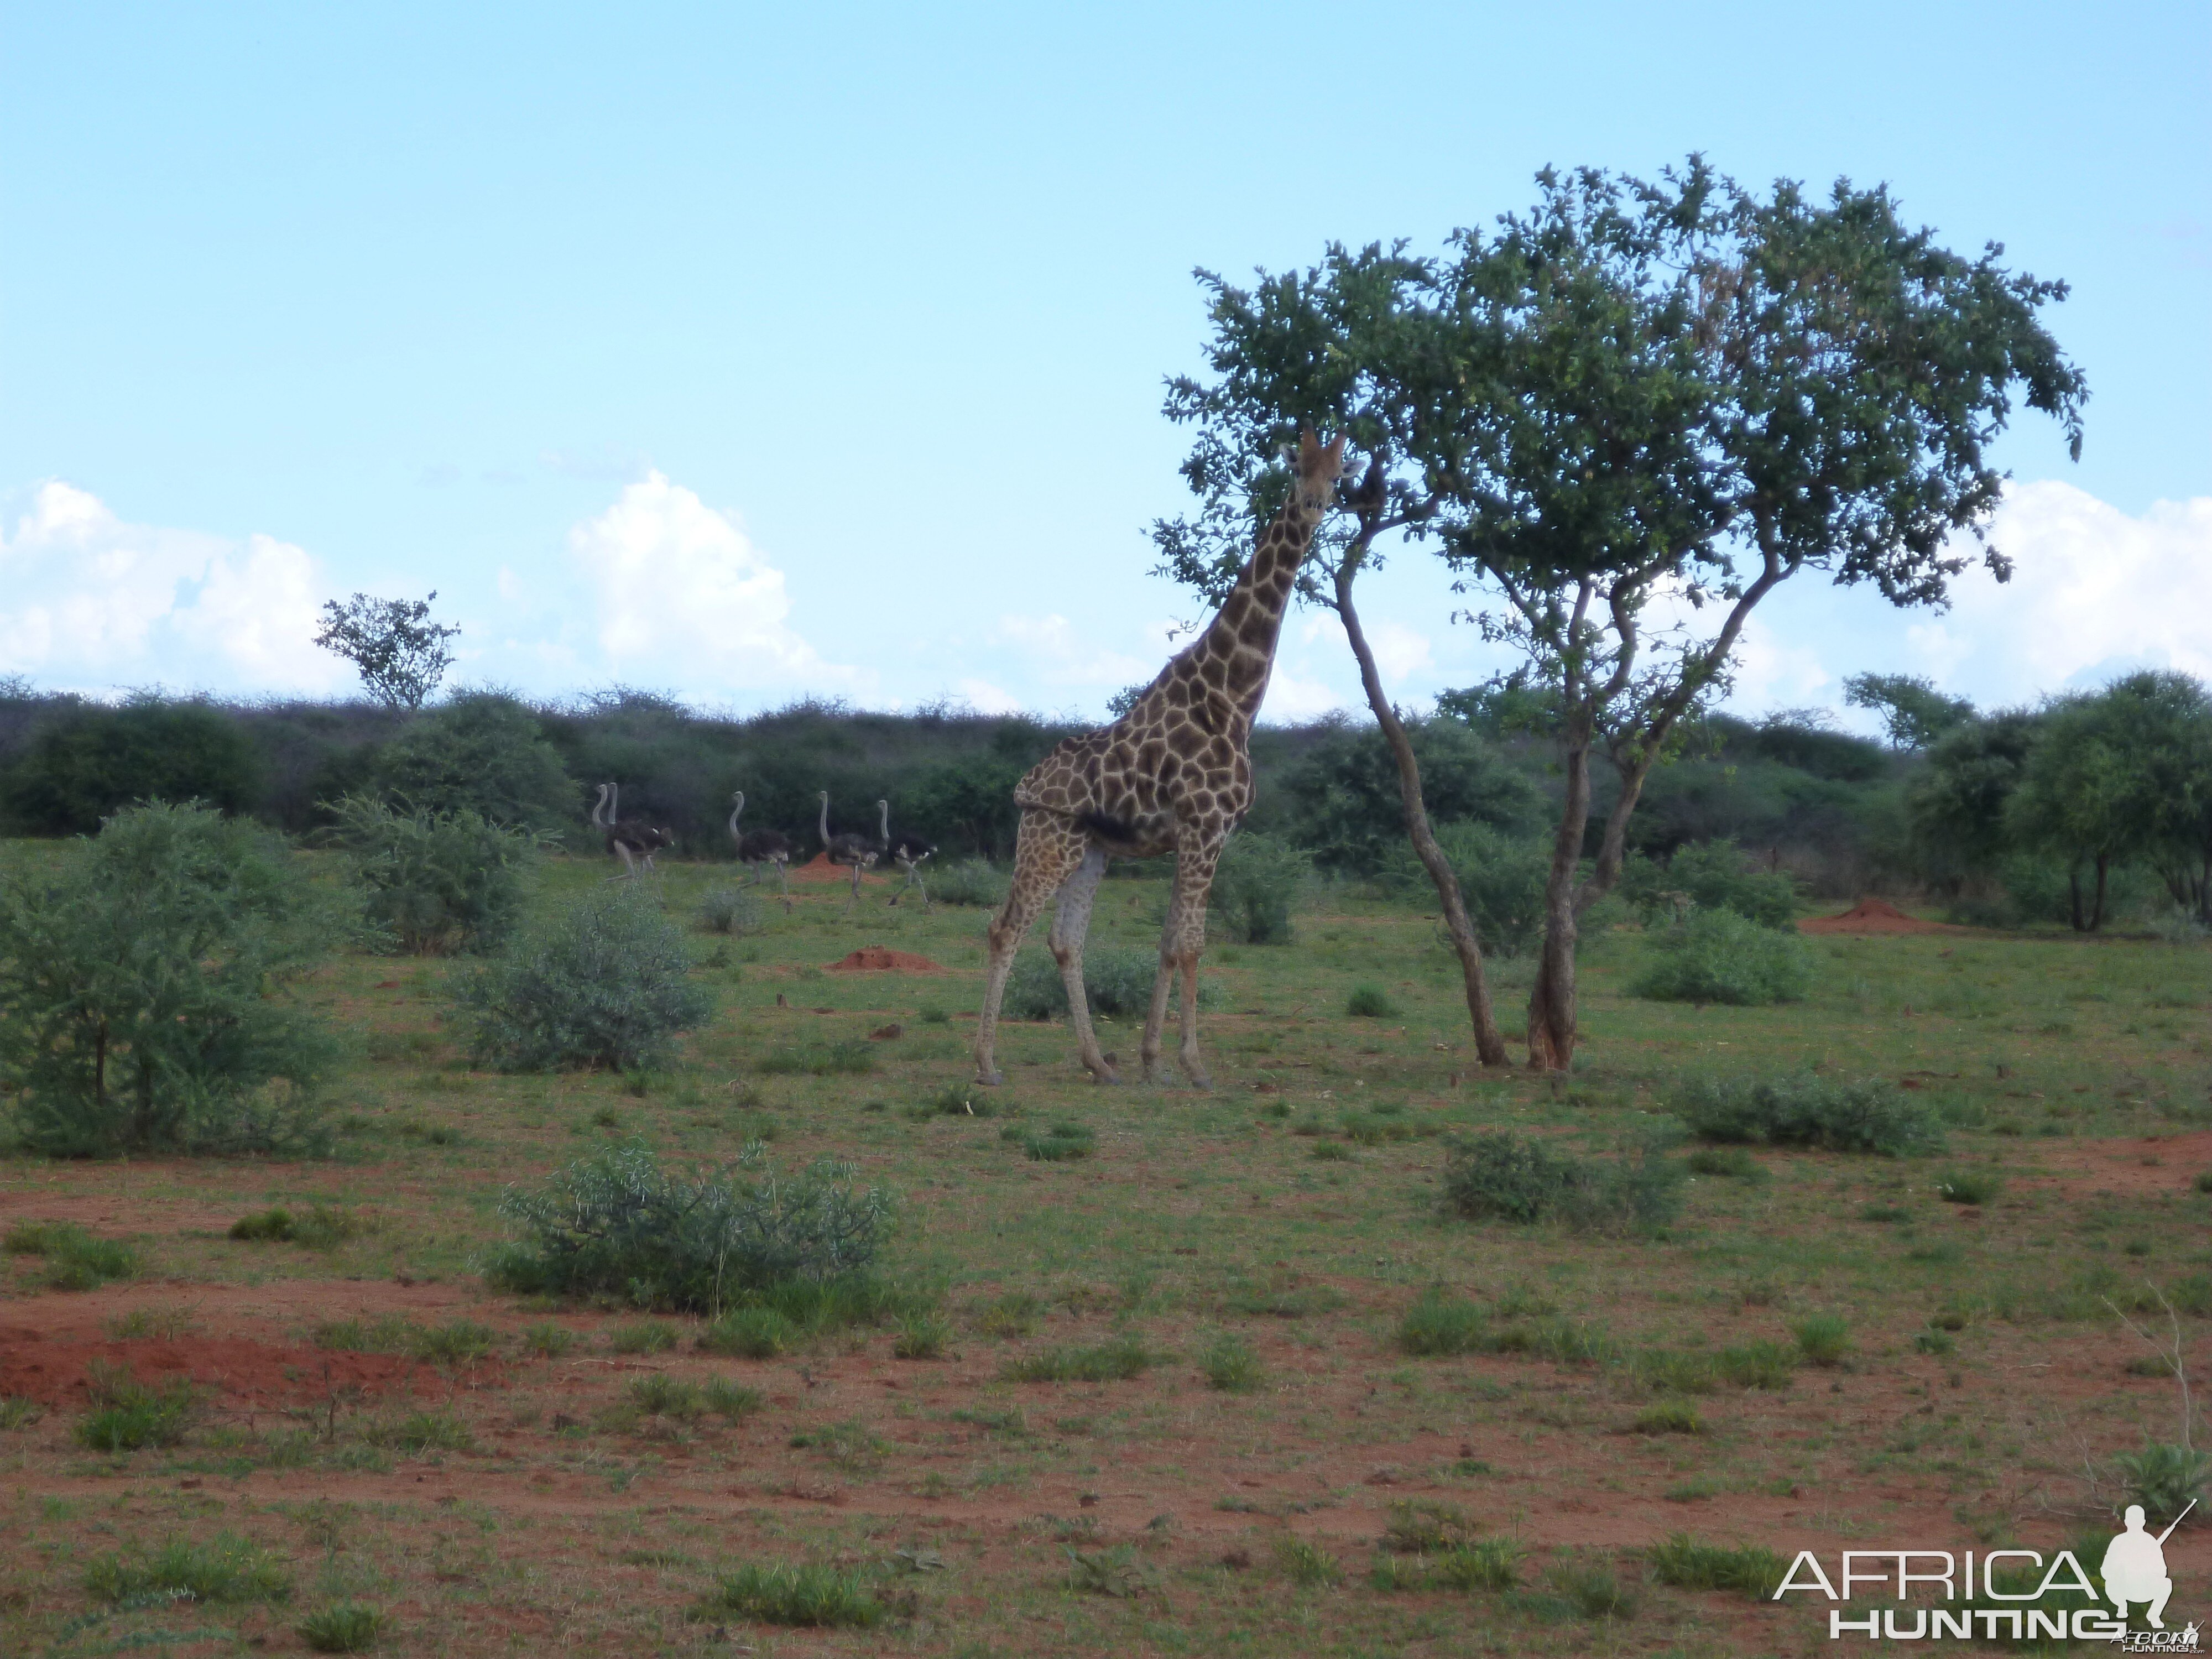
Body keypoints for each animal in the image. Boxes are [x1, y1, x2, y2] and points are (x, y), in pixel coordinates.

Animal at [973, 436, 1345, 1097]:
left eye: (1340, 475)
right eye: (1294, 466)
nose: (1312, 505)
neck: (1235, 701)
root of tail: (1025, 785)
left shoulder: (1201, 835)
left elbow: (1171, 941)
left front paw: (1151, 1060)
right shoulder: (1205, 828)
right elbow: (1192, 945)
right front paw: (1193, 1065)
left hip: (1089, 850)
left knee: (1065, 940)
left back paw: (1098, 1063)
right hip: (1048, 838)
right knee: (1006, 928)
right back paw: (987, 1063)